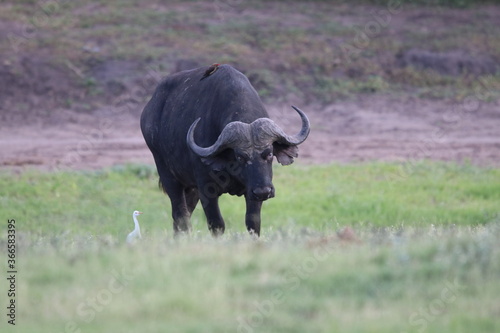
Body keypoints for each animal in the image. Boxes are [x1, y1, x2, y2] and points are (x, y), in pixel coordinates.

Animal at [140, 64, 308, 236]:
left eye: (269, 154)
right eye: (240, 157)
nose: (263, 191)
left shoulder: (252, 191)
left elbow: (253, 223)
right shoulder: (206, 190)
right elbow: (217, 224)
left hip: (191, 189)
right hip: (168, 176)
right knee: (180, 216)